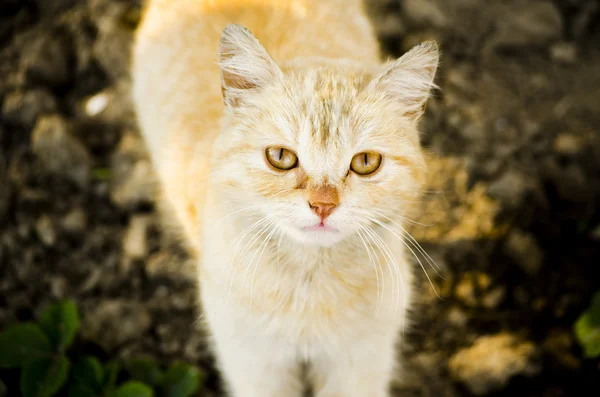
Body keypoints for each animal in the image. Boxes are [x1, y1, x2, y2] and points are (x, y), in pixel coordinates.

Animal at [134, 0, 438, 396]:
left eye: (366, 162)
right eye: (280, 157)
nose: (323, 204)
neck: (309, 281)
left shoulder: (361, 361)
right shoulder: (252, 362)